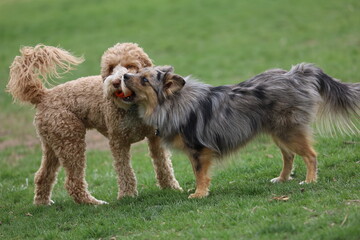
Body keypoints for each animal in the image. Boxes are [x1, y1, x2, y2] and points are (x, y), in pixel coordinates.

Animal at [7, 42, 183, 204]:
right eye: (111, 68)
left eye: (131, 65)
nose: (116, 82)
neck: (133, 107)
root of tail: (44, 95)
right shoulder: (118, 141)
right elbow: (124, 170)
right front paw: (127, 195)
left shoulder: (155, 137)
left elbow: (163, 164)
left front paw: (171, 187)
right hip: (71, 140)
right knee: (72, 182)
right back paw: (93, 203)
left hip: (54, 143)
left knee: (42, 176)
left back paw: (42, 204)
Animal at [116, 62, 360, 198]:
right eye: (136, 72)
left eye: (144, 80)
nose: (124, 76)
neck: (173, 102)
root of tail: (295, 74)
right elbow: (197, 173)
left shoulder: (199, 150)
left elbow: (199, 174)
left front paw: (200, 194)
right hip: (279, 133)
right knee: (289, 157)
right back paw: (282, 179)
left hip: (288, 132)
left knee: (310, 155)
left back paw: (310, 181)